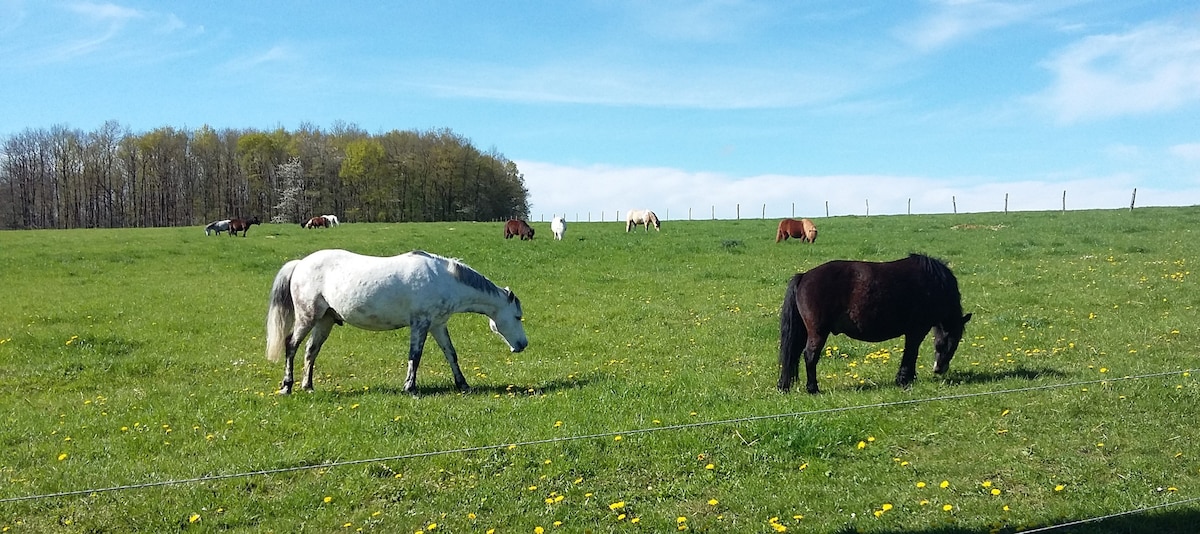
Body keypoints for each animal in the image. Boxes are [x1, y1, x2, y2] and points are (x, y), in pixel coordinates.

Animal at [265, 247, 528, 393]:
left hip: (325, 320)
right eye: (517, 316)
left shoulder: (437, 325)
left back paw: (308, 386)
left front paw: (463, 385)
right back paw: (287, 386)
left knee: (311, 351)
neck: (444, 279)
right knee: (291, 345)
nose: (523, 344)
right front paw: (410, 387)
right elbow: (415, 356)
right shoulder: (420, 324)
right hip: (307, 317)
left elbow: (451, 354)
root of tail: (300, 264)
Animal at [777, 252, 974, 393]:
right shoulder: (916, 330)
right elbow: (911, 353)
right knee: (810, 356)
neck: (933, 285)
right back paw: (813, 389)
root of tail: (804, 276)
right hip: (818, 332)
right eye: (951, 342)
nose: (940, 369)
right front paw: (905, 379)